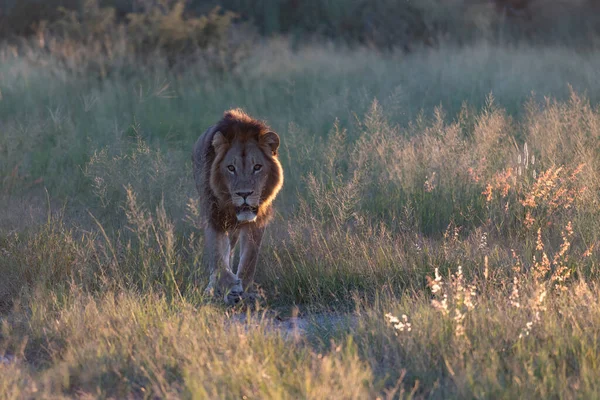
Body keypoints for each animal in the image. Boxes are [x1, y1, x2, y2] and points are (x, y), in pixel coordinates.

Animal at [193, 108, 284, 304]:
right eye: (231, 168)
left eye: (257, 167)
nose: (244, 194)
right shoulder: (213, 216)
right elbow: (218, 256)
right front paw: (231, 286)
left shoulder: (258, 221)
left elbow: (250, 258)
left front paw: (247, 291)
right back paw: (214, 288)